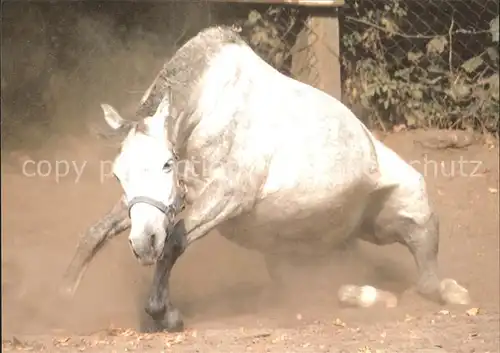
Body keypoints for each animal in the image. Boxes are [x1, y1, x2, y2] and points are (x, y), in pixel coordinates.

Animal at [63, 26, 468, 330]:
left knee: (426, 282)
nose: (144, 243)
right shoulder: (165, 203)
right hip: (313, 251)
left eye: (166, 164)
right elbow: (94, 233)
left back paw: (452, 293)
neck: (206, 109)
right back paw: (371, 295)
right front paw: (64, 296)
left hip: (411, 211)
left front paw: (167, 315)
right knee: (332, 283)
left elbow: (175, 242)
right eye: (118, 174)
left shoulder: (228, 196)